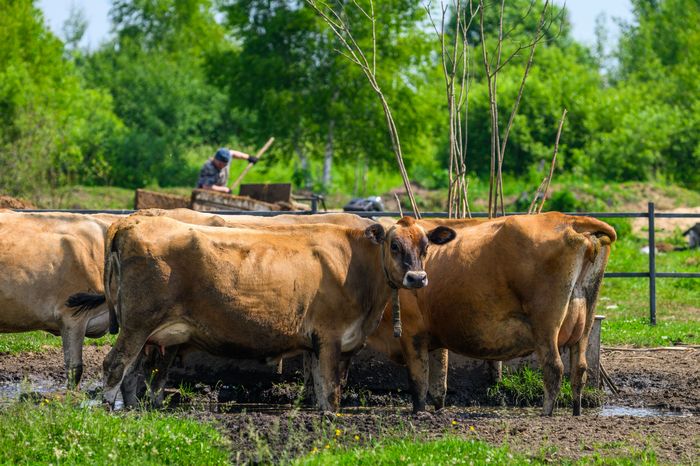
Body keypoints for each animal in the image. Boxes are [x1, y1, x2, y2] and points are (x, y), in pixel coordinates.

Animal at [69, 214, 456, 410]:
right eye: (394, 245)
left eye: (425, 246)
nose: (417, 278)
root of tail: (129, 224)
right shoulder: (330, 337)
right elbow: (330, 390)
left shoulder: (333, 342)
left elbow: (324, 388)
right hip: (137, 324)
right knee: (115, 365)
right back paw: (108, 411)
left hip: (144, 329)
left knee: (133, 371)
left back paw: (133, 410)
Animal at [366, 212, 616, 416]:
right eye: (394, 245)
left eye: (426, 247)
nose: (417, 278)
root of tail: (568, 219)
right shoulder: (435, 336)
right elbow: (439, 385)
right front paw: (439, 411)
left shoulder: (412, 334)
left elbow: (419, 384)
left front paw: (419, 413)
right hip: (586, 321)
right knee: (579, 370)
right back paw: (577, 411)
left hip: (546, 326)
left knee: (554, 368)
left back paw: (546, 413)